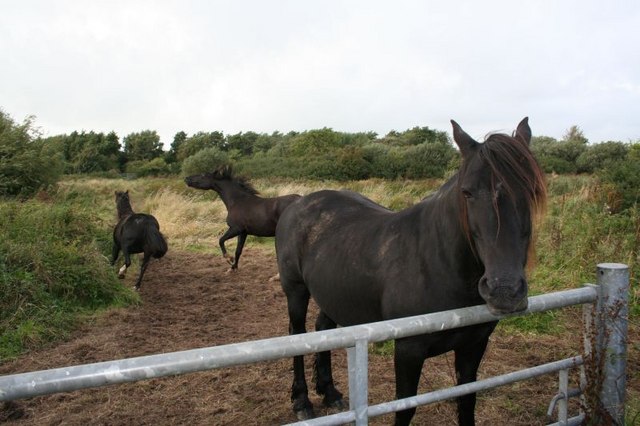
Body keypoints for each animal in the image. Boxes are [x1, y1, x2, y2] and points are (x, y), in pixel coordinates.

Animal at [274, 117, 544, 426]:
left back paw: (330, 393)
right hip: (296, 291)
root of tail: (296, 204)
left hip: (333, 292)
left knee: (323, 330)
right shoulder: (408, 350)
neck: (439, 265)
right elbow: (405, 408)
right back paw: (302, 401)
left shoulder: (473, 346)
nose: (504, 291)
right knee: (297, 335)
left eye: (533, 191)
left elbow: (466, 402)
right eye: (467, 192)